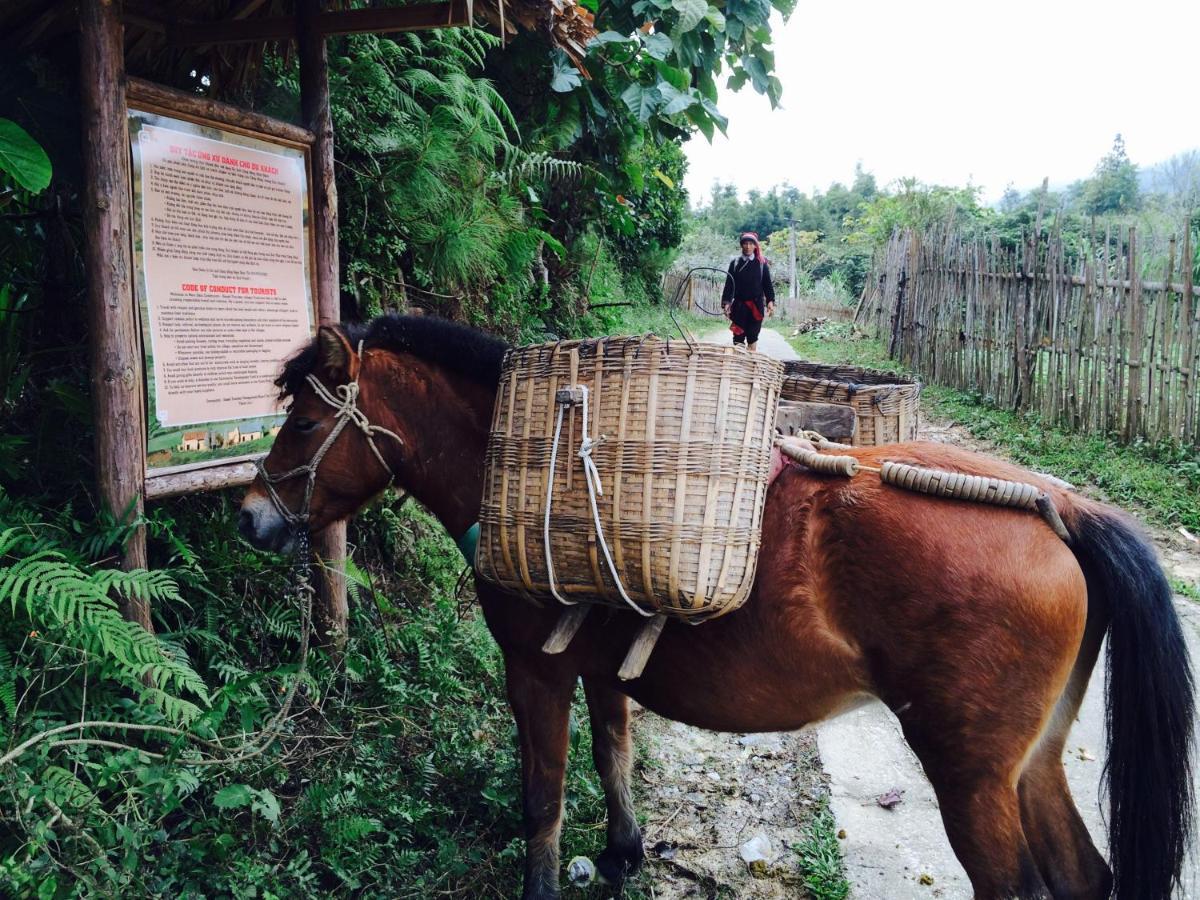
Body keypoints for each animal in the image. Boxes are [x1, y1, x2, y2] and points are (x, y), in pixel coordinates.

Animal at [238, 316, 1195, 900]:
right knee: (1084, 876)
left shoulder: (535, 673)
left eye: (301, 424)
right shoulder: (598, 666)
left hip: (971, 774)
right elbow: (613, 753)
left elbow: (542, 799)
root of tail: (1060, 507)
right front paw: (622, 854)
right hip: (1031, 762)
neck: (507, 461)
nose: (249, 517)